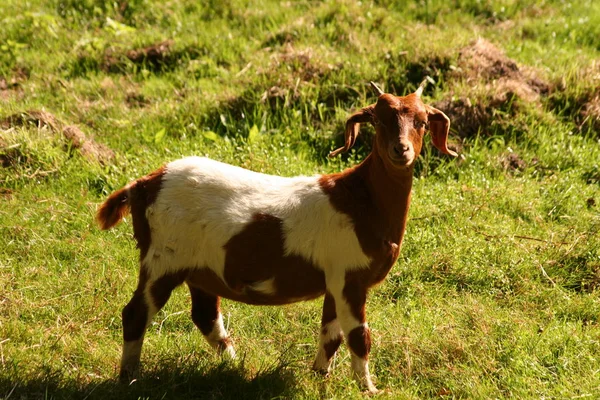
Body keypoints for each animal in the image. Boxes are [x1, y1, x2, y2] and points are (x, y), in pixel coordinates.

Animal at [97, 83, 454, 392]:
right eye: (379, 122)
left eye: (422, 123)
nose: (401, 150)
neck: (361, 198)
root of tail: (144, 184)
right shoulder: (349, 277)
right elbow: (357, 337)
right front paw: (369, 389)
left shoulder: (335, 279)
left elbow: (330, 334)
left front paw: (320, 377)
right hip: (162, 259)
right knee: (135, 314)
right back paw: (129, 378)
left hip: (199, 268)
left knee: (205, 315)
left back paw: (235, 365)